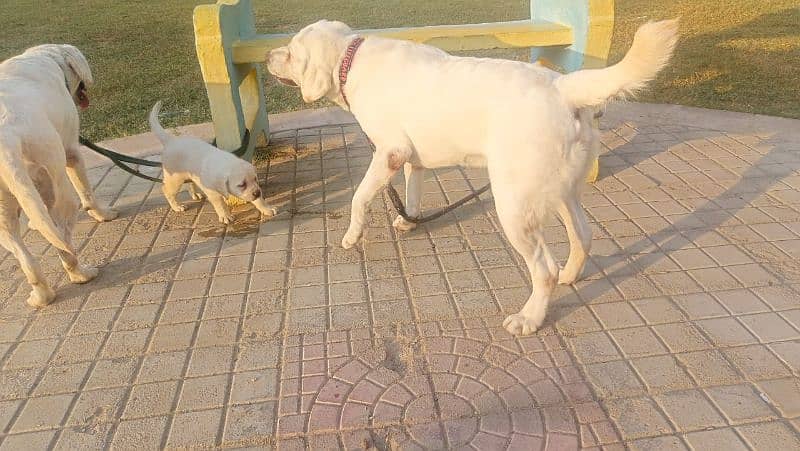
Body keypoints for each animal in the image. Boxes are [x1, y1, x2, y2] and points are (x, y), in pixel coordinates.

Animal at [0, 45, 117, 308]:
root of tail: (5, 139)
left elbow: (38, 215)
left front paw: (34, 223)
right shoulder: (73, 152)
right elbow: (87, 192)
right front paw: (103, 214)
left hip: (3, 213)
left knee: (27, 257)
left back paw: (41, 295)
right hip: (60, 188)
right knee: (65, 244)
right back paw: (81, 273)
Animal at [148, 101, 276, 223]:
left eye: (255, 179)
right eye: (241, 185)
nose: (257, 192)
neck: (225, 164)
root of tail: (171, 141)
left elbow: (259, 201)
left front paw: (266, 209)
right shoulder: (213, 192)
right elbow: (220, 205)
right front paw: (225, 216)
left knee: (190, 183)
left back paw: (194, 194)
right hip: (174, 179)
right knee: (166, 191)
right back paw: (177, 207)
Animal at [266, 20, 680, 336]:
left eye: (290, 51)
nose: (269, 55)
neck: (349, 60)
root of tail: (563, 86)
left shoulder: (389, 152)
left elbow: (359, 197)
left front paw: (353, 235)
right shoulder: (412, 158)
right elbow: (412, 190)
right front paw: (408, 221)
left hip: (514, 204)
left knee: (543, 269)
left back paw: (529, 318)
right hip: (559, 191)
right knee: (583, 235)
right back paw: (569, 276)